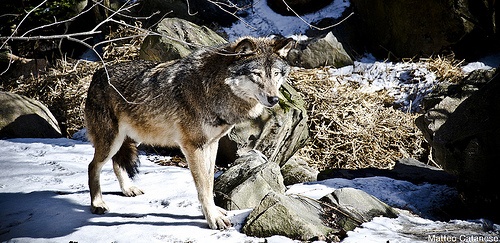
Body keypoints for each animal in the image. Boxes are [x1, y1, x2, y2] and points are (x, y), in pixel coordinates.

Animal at [84, 36, 294, 230]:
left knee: (115, 162)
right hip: (111, 141)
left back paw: (128, 189)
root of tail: (98, 73)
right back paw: (98, 203)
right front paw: (213, 219)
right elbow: (202, 186)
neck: (212, 87)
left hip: (130, 138)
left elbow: (209, 182)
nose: (274, 99)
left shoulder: (211, 144)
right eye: (256, 74)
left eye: (276, 74)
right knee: (92, 166)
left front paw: (214, 212)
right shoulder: (194, 147)